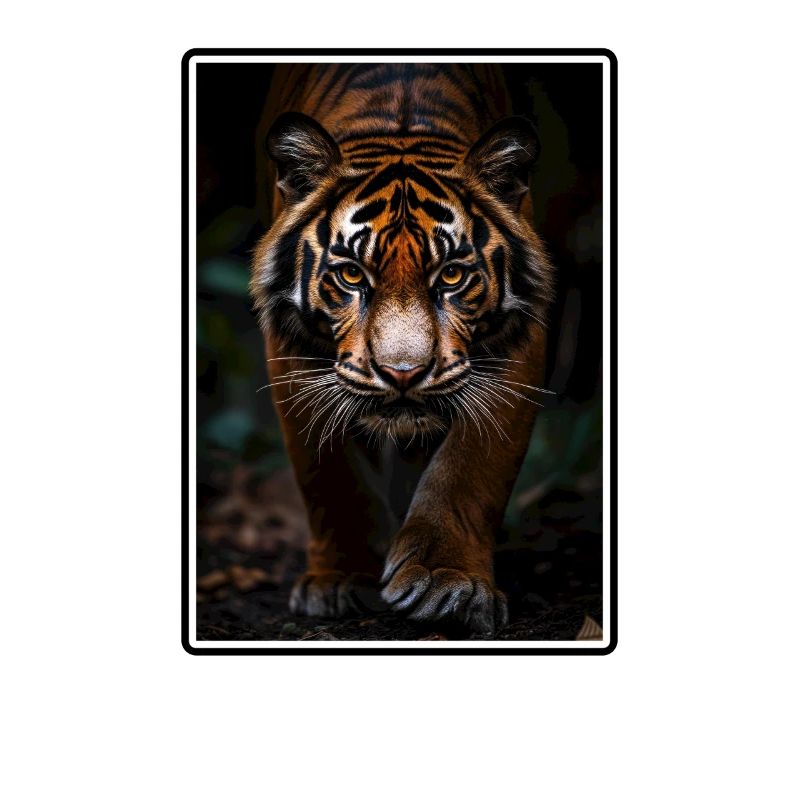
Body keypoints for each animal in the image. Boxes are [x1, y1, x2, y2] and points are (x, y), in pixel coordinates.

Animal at [251, 63, 553, 635]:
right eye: (351, 274)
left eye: (451, 275)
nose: (403, 374)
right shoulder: (290, 348)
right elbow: (328, 474)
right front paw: (340, 578)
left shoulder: (521, 340)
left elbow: (471, 467)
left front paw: (446, 582)